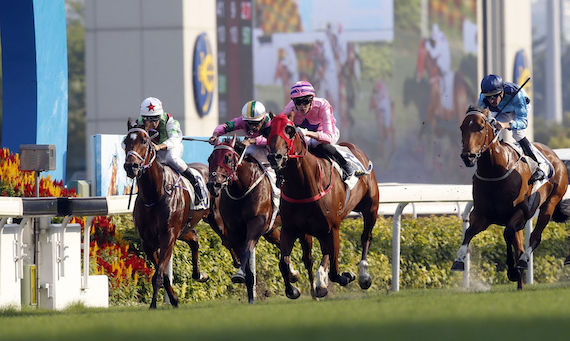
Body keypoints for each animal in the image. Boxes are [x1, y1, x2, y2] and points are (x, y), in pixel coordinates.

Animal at [122, 120, 209, 308]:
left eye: (144, 141)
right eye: (125, 141)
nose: (131, 166)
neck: (155, 194)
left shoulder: (168, 237)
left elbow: (159, 275)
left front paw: (153, 305)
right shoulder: (148, 242)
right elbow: (163, 274)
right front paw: (174, 299)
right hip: (184, 229)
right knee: (195, 240)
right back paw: (199, 275)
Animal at [205, 136, 302, 302]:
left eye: (228, 158)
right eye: (210, 158)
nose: (214, 185)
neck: (241, 190)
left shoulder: (256, 224)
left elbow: (247, 249)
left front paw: (240, 275)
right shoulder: (234, 229)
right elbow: (244, 257)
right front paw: (249, 291)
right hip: (271, 230)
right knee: (281, 245)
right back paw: (292, 276)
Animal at [266, 114, 378, 298]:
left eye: (290, 129)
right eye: (269, 129)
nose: (275, 157)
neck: (303, 187)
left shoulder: (332, 228)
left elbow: (333, 269)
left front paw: (345, 277)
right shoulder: (290, 229)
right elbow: (283, 262)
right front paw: (293, 288)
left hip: (371, 208)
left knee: (365, 237)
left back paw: (363, 276)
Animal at [450, 105, 564, 286]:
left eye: (480, 127)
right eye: (462, 127)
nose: (468, 156)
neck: (495, 170)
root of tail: (555, 156)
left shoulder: (520, 212)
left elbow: (507, 234)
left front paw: (512, 270)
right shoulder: (482, 215)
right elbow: (468, 233)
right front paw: (459, 260)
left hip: (551, 202)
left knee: (535, 237)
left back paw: (523, 262)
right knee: (520, 246)